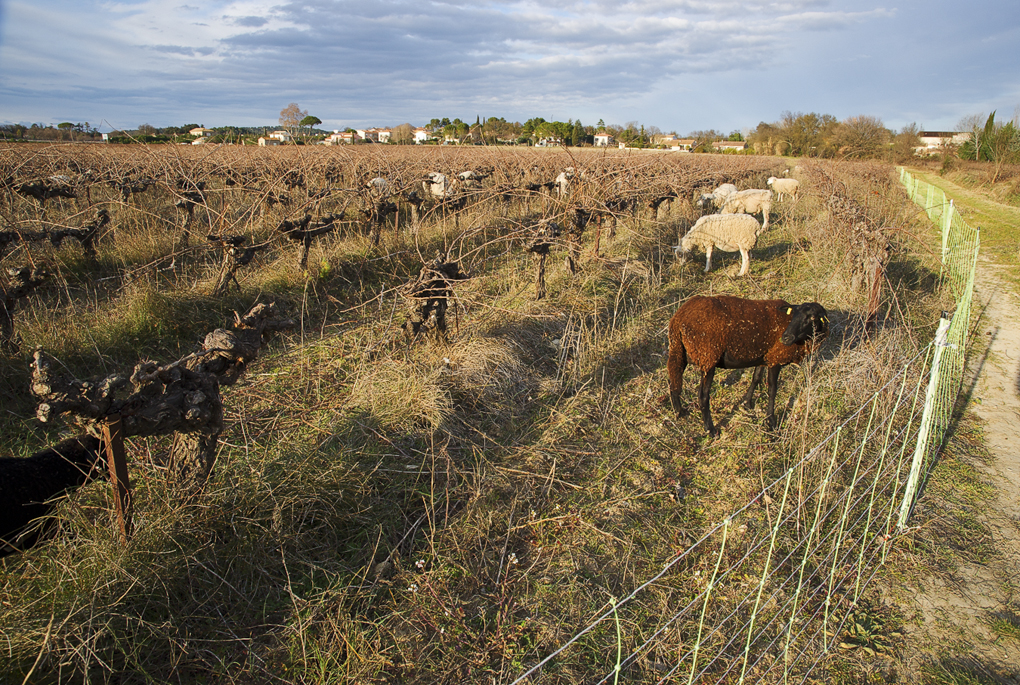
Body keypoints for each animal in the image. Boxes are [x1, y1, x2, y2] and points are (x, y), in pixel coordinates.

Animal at [669, 295, 828, 436]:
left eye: (812, 318)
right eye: (794, 315)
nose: (785, 338)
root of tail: (678, 319)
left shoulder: (764, 357)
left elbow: (756, 378)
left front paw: (747, 404)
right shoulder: (776, 358)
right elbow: (772, 390)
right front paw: (771, 422)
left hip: (679, 350)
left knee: (674, 382)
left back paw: (679, 412)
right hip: (708, 357)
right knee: (702, 396)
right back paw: (711, 430)